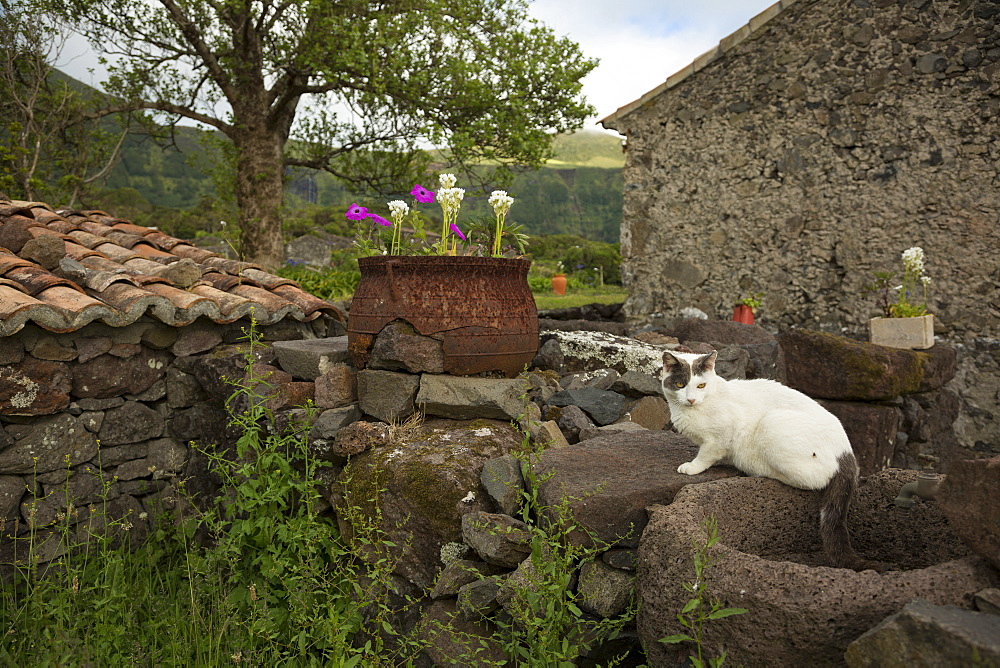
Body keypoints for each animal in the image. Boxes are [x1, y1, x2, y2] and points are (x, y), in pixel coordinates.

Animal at [664, 348, 868, 572]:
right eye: (680, 385)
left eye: (701, 385)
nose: (691, 399)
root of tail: (848, 452)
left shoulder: (721, 436)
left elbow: (707, 454)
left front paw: (693, 466)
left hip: (772, 424)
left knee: (813, 481)